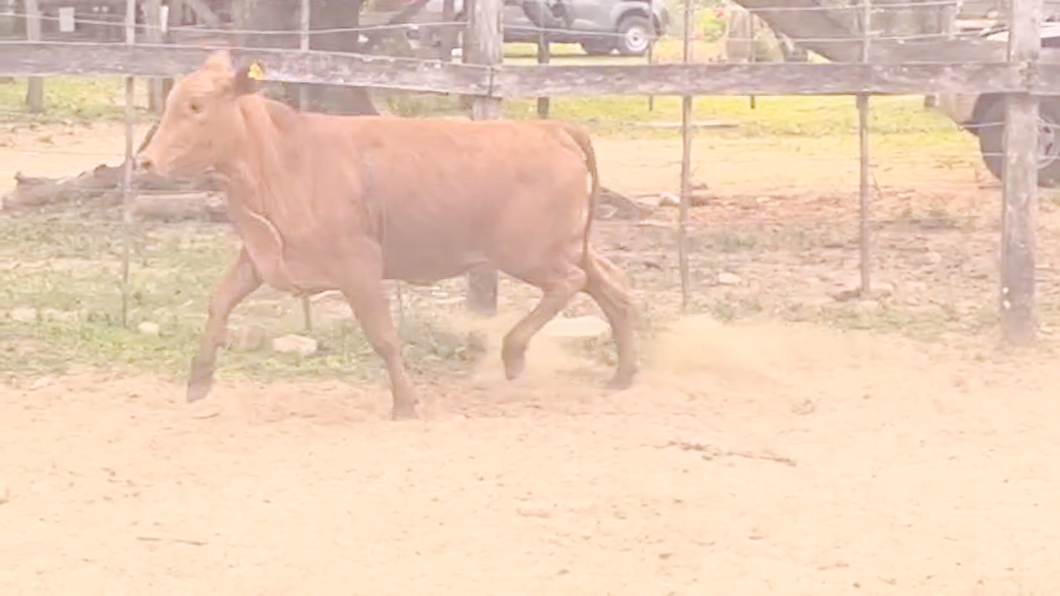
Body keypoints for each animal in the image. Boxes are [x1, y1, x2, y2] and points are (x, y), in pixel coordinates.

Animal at [138, 50, 635, 419]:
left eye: (196, 106)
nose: (145, 161)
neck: (284, 158)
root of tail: (553, 128)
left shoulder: (358, 265)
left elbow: (382, 334)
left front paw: (405, 403)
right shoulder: (260, 257)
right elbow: (220, 302)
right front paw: (198, 382)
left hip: (531, 254)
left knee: (571, 284)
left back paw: (514, 355)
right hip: (571, 246)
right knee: (613, 288)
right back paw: (623, 374)